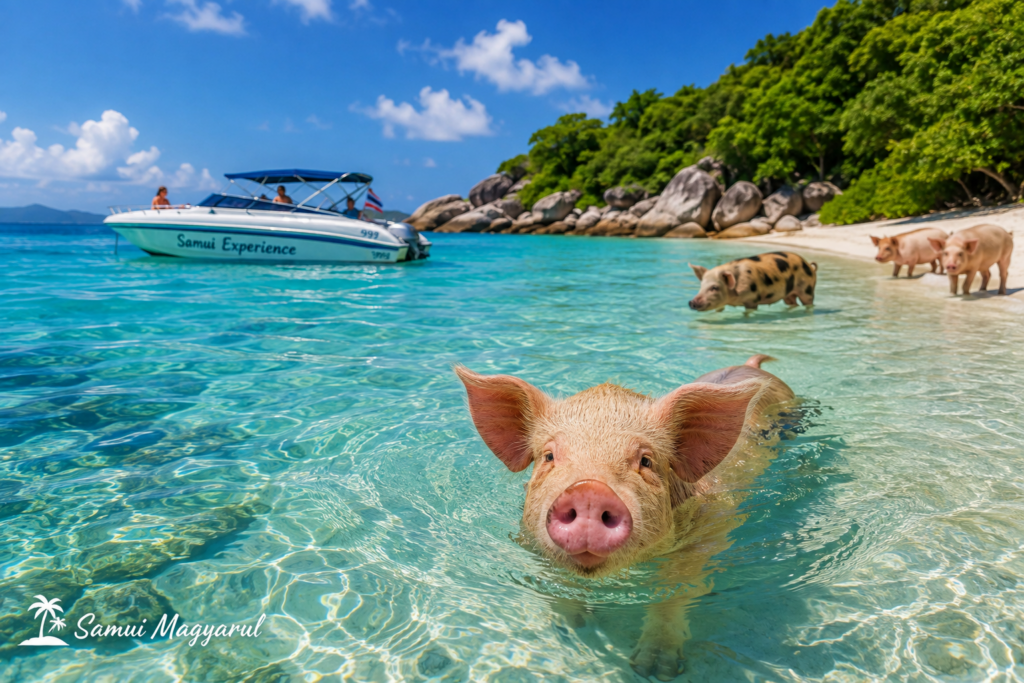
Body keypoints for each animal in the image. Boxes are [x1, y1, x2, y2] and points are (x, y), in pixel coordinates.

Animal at [455, 354, 796, 679]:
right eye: (549, 456)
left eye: (645, 460)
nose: (589, 490)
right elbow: (555, 585)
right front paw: (571, 629)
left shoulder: (706, 539)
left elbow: (675, 593)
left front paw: (654, 669)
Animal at [688, 251, 817, 312]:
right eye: (701, 286)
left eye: (714, 287)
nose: (691, 302)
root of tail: (810, 266)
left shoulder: (752, 299)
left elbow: (749, 311)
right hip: (788, 294)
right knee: (793, 303)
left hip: (807, 289)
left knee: (808, 302)